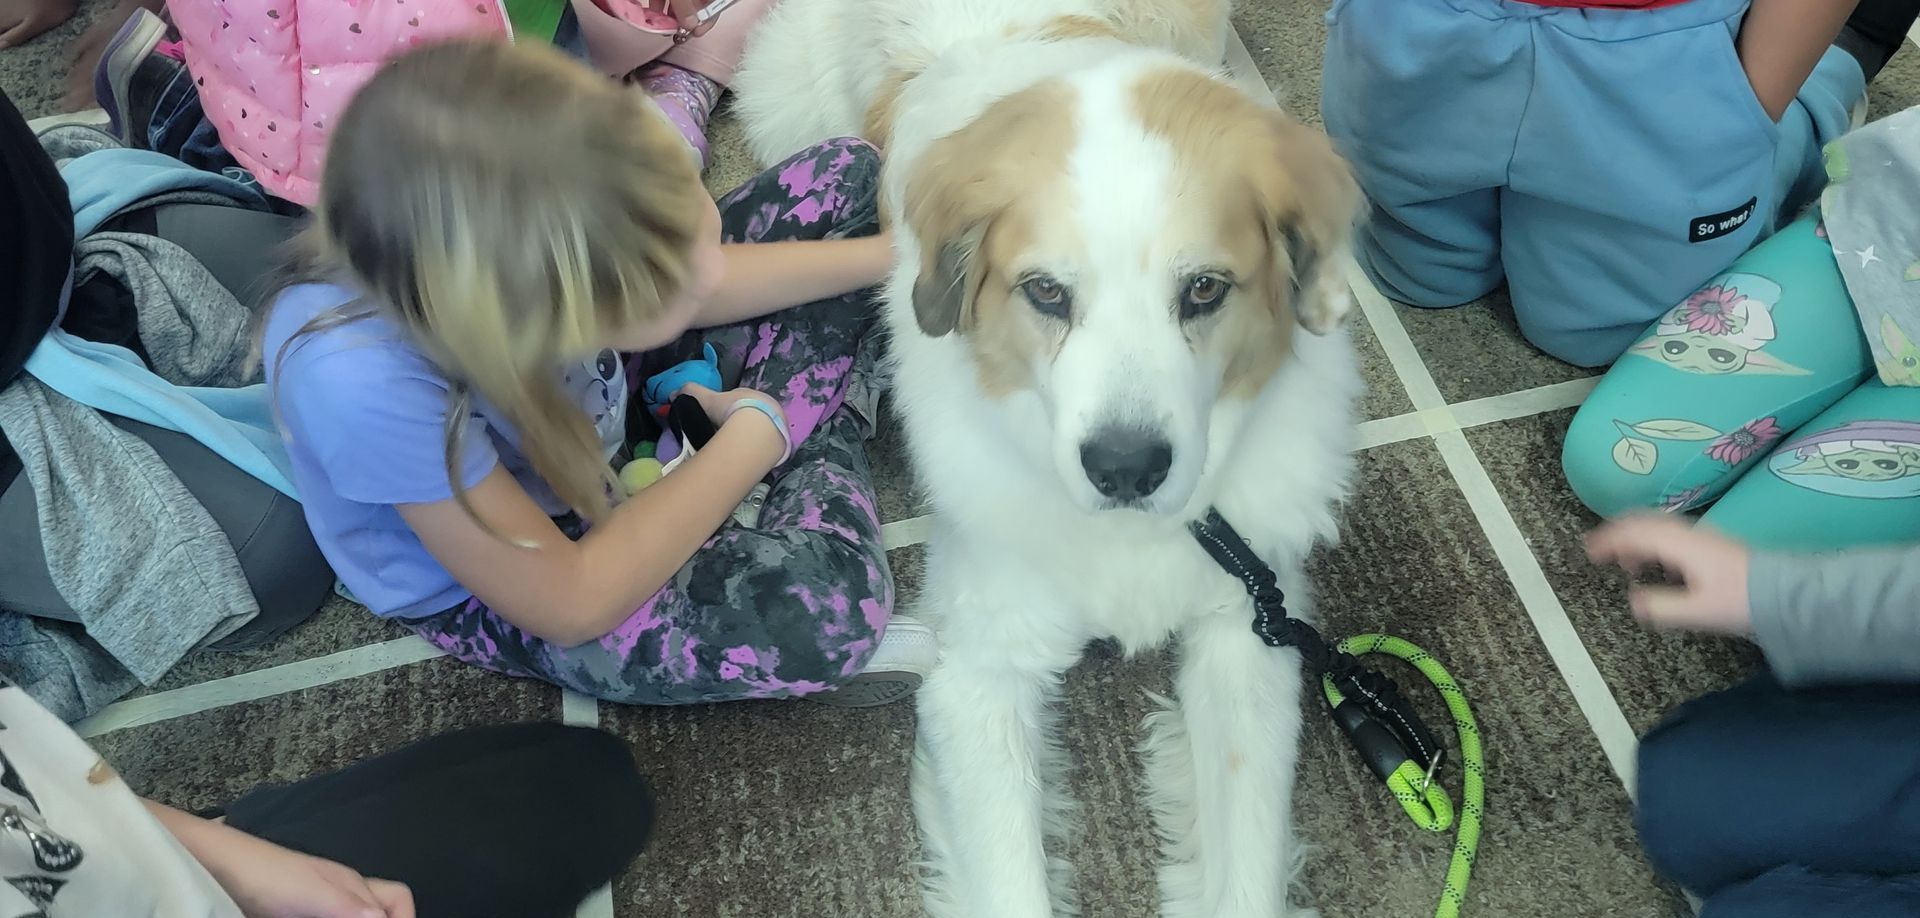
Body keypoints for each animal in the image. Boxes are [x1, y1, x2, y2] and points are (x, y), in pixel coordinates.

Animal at [733, 3, 1367, 914]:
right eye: (1046, 293)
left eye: (1204, 290)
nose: (1126, 468)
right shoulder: (979, 670)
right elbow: (1011, 883)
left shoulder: (1250, 630)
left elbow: (1245, 873)